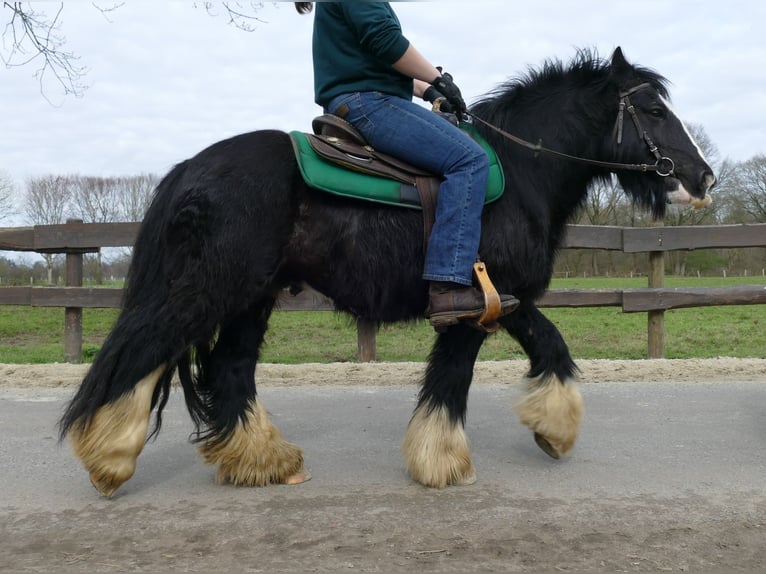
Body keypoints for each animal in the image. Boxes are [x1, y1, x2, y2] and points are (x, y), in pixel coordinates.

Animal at [58, 48, 712, 500]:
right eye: (654, 109)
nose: (701, 177)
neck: (519, 172)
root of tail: (191, 167)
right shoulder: (470, 309)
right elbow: (452, 381)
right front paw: (442, 462)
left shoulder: (507, 299)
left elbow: (553, 348)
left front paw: (554, 429)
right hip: (207, 290)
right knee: (139, 351)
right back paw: (110, 457)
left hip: (251, 298)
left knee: (228, 369)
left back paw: (263, 460)